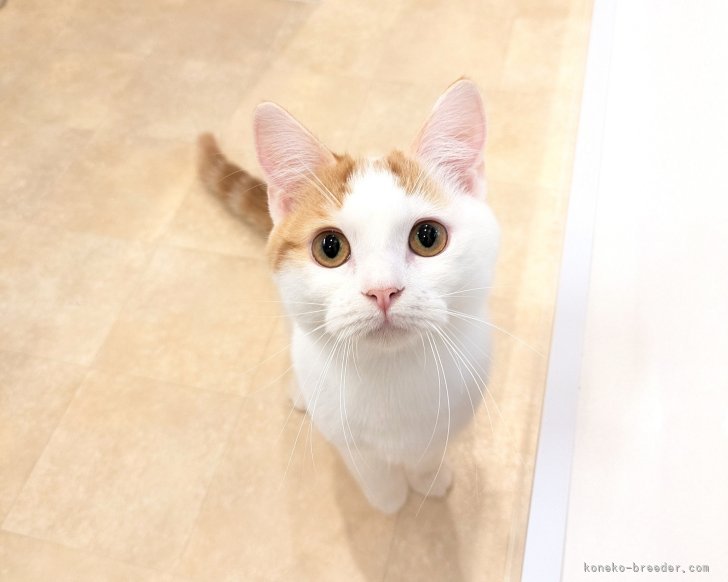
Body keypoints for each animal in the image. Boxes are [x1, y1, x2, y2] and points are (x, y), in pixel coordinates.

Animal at [198, 79, 500, 513]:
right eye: (330, 248)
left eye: (428, 237)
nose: (382, 290)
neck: (392, 376)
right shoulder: (349, 440)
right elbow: (372, 471)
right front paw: (389, 500)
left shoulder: (450, 415)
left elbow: (427, 454)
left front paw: (428, 479)